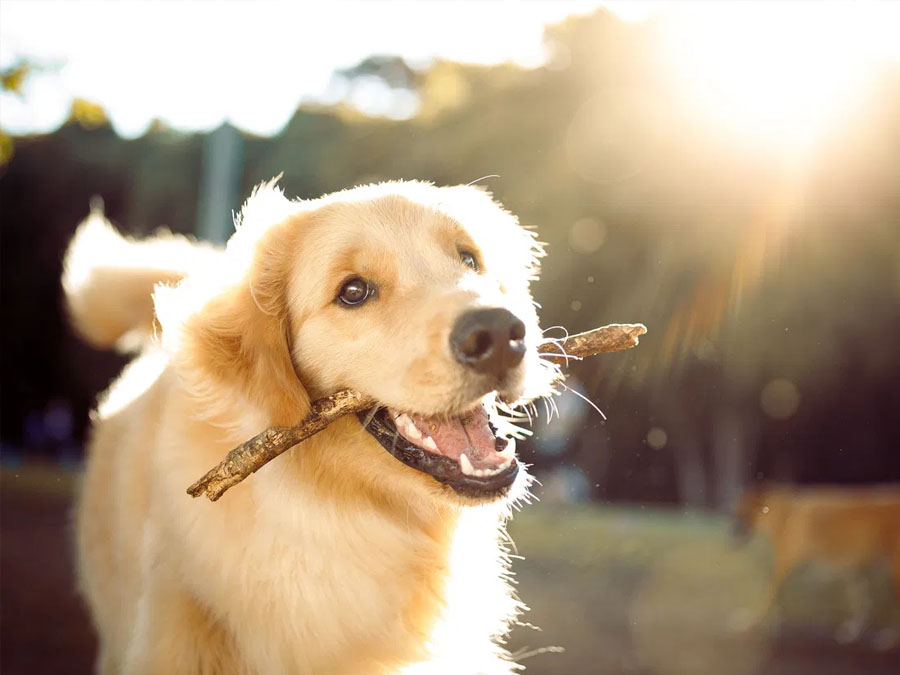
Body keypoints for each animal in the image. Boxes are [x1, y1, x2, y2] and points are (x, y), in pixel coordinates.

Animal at [732, 484, 900, 648]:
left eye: (745, 514)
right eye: (738, 513)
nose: (734, 533)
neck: (781, 515)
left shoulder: (780, 569)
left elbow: (766, 597)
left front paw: (748, 621)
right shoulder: (854, 571)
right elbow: (862, 603)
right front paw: (852, 632)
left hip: (895, 570)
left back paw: (889, 637)